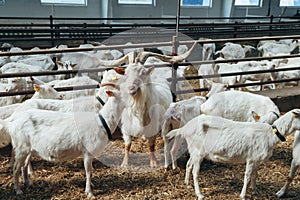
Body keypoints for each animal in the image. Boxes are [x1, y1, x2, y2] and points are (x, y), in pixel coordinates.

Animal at [168, 109, 300, 200]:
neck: (270, 134)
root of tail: (185, 128)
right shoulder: (251, 159)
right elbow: (247, 176)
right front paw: (242, 195)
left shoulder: (256, 159)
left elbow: (254, 175)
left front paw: (254, 190)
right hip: (198, 152)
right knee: (195, 172)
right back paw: (199, 194)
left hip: (194, 151)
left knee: (189, 164)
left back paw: (187, 183)